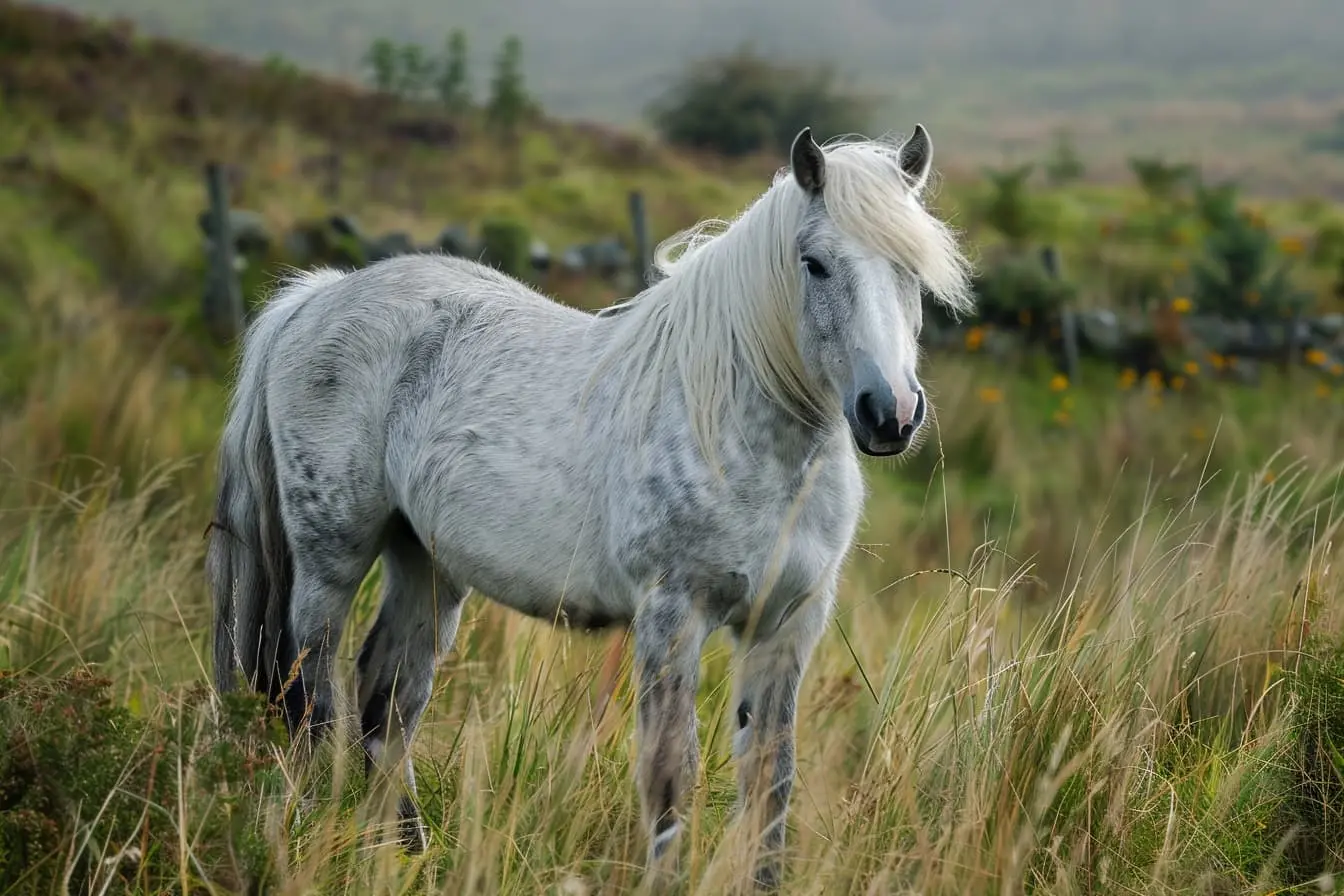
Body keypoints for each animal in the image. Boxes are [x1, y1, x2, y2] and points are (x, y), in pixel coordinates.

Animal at [206, 126, 967, 891]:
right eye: (814, 263)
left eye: (912, 267)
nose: (889, 414)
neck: (737, 421)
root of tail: (320, 297)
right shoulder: (673, 615)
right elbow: (670, 776)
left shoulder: (787, 625)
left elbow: (769, 783)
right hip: (330, 557)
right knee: (311, 691)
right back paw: (320, 833)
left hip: (424, 561)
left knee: (388, 699)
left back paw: (406, 855)